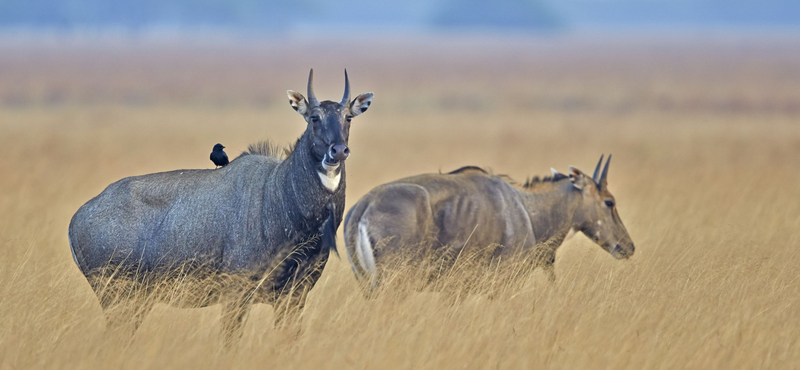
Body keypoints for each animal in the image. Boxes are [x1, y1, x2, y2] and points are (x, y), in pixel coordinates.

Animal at [69, 69, 376, 342]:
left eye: (348, 117)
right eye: (314, 117)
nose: (337, 151)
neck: (280, 196)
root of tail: (76, 219)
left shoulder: (294, 295)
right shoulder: (236, 293)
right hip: (116, 297)